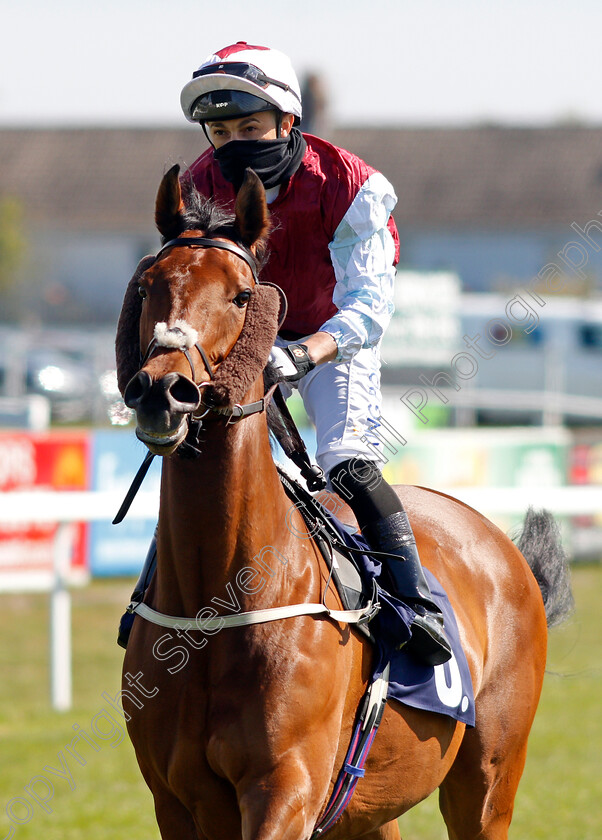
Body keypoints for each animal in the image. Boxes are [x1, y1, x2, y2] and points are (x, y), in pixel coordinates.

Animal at [117, 164, 572, 840]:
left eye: (242, 295)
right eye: (148, 286)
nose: (162, 391)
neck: (217, 597)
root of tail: (501, 544)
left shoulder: (287, 789)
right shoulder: (175, 800)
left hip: (489, 780)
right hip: (368, 804)